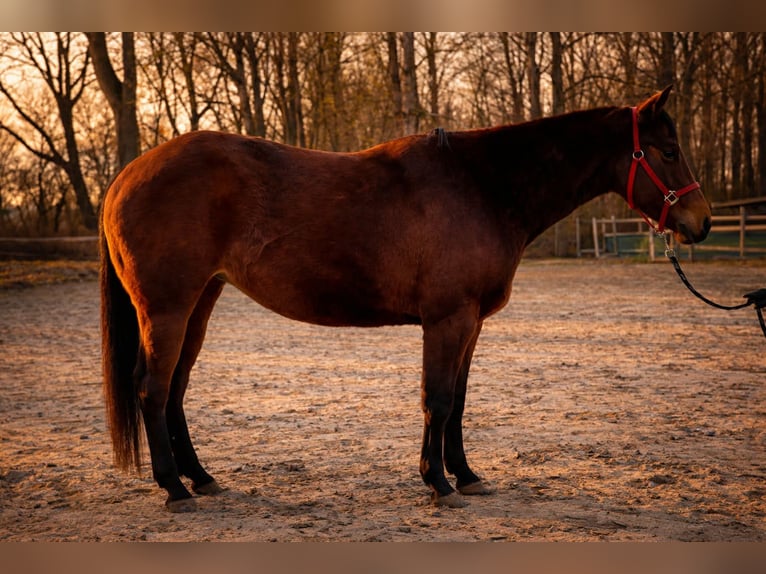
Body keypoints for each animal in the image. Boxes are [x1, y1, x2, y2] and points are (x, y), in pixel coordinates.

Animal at [100, 86, 711, 512]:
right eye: (669, 151)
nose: (701, 223)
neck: (483, 187)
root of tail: (126, 175)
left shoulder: (471, 323)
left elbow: (458, 402)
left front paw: (466, 475)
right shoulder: (447, 319)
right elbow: (436, 400)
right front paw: (437, 482)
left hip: (201, 301)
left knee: (175, 389)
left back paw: (201, 479)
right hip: (168, 308)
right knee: (152, 388)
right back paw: (175, 489)